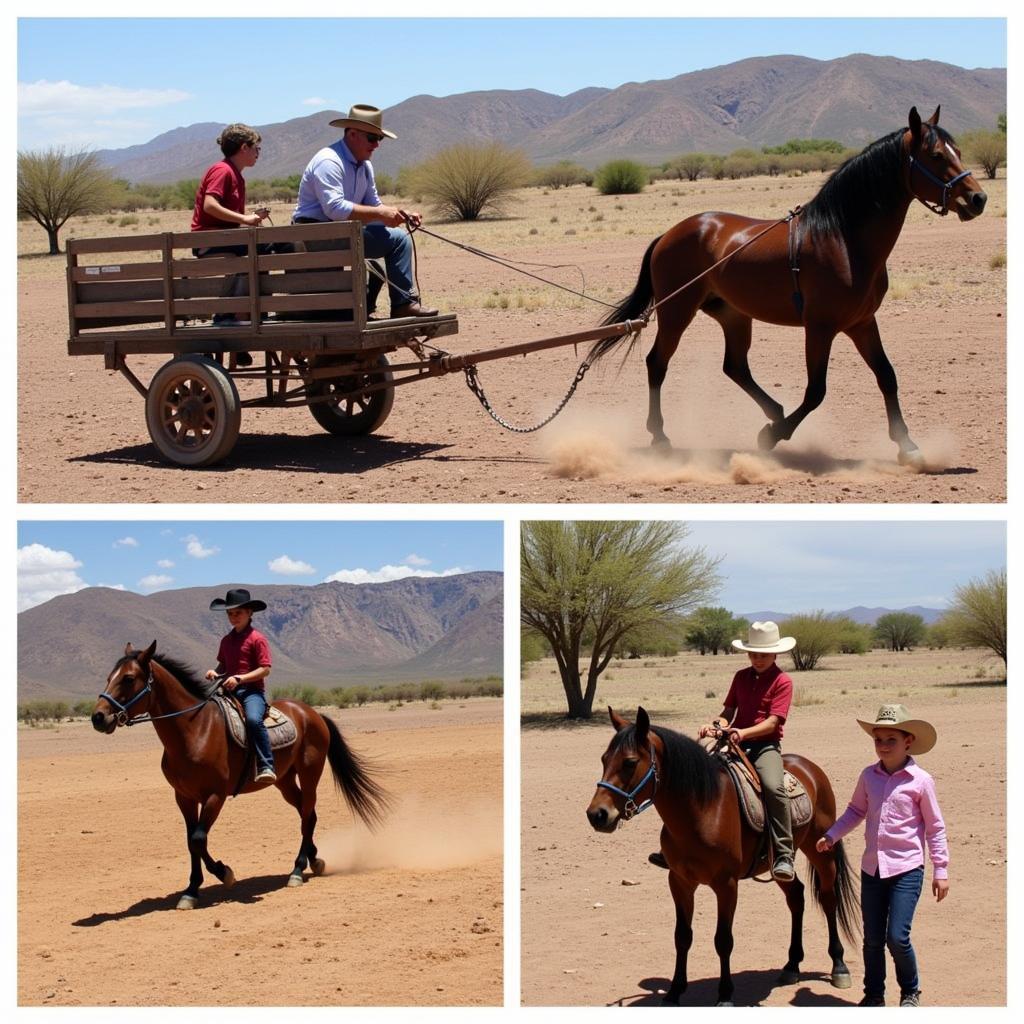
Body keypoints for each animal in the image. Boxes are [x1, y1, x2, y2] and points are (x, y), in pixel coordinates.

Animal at [93, 638, 391, 913]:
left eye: (128, 678)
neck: (194, 730)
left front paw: (225, 873)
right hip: (284, 781)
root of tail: (312, 713)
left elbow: (199, 839)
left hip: (309, 774)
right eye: (109, 677)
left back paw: (297, 870)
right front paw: (191, 890)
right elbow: (191, 842)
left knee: (307, 815)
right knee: (309, 815)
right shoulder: (184, 797)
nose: (98, 717)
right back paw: (314, 860)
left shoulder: (215, 795)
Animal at [585, 708, 856, 1003]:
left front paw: (725, 994)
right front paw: (674, 991)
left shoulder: (726, 885)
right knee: (796, 897)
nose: (597, 814)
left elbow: (723, 940)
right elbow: (682, 936)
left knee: (829, 900)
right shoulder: (679, 881)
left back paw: (839, 967)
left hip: (821, 852)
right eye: (604, 759)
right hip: (781, 862)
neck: (702, 810)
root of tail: (811, 769)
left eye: (630, 762)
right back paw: (791, 966)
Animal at [598, 105, 987, 466]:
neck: (843, 239)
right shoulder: (820, 327)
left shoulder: (862, 323)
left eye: (958, 152)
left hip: (733, 315)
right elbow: (816, 391)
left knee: (735, 367)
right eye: (936, 155)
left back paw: (773, 411)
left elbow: (887, 377)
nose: (977, 199)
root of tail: (670, 234)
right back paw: (662, 436)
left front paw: (907, 446)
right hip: (677, 312)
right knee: (657, 363)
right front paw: (772, 437)